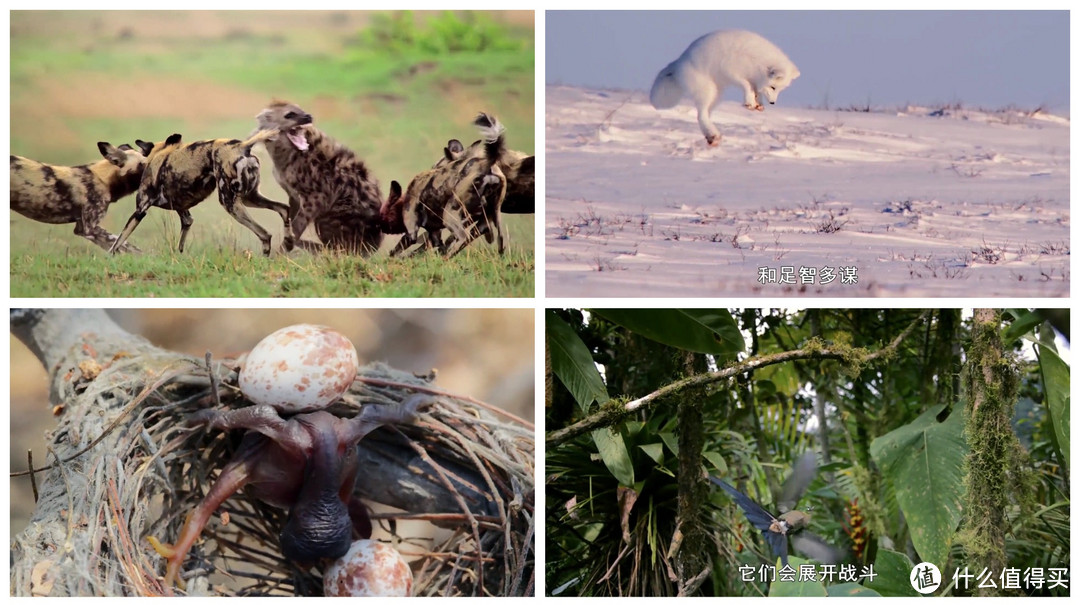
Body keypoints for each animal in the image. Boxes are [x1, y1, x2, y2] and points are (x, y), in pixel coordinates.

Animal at [109, 123, 306, 254]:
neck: (158, 155)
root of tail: (242, 146)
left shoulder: (139, 211)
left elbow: (117, 242)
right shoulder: (185, 216)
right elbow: (180, 245)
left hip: (230, 204)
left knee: (265, 234)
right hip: (250, 198)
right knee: (283, 208)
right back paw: (287, 243)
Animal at [254, 100, 386, 253]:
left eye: (301, 110)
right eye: (290, 114)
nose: (308, 116)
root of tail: (374, 247)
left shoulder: (316, 196)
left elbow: (297, 224)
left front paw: (282, 250)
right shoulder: (292, 193)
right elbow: (290, 217)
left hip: (335, 214)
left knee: (340, 248)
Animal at [382, 113, 507, 257]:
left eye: (437, 167)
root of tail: (486, 165)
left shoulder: (413, 230)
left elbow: (397, 251)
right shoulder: (438, 230)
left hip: (450, 215)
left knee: (461, 238)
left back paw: (445, 258)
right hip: (492, 217)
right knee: (500, 240)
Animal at [648, 29, 803, 145]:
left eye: (779, 90)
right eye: (773, 87)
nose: (773, 103)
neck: (755, 61)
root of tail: (678, 62)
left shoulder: (753, 79)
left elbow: (756, 91)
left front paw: (758, 104)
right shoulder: (732, 72)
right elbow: (746, 85)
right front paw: (749, 102)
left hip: (716, 96)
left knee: (704, 114)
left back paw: (711, 136)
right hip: (708, 91)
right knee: (700, 114)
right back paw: (713, 135)